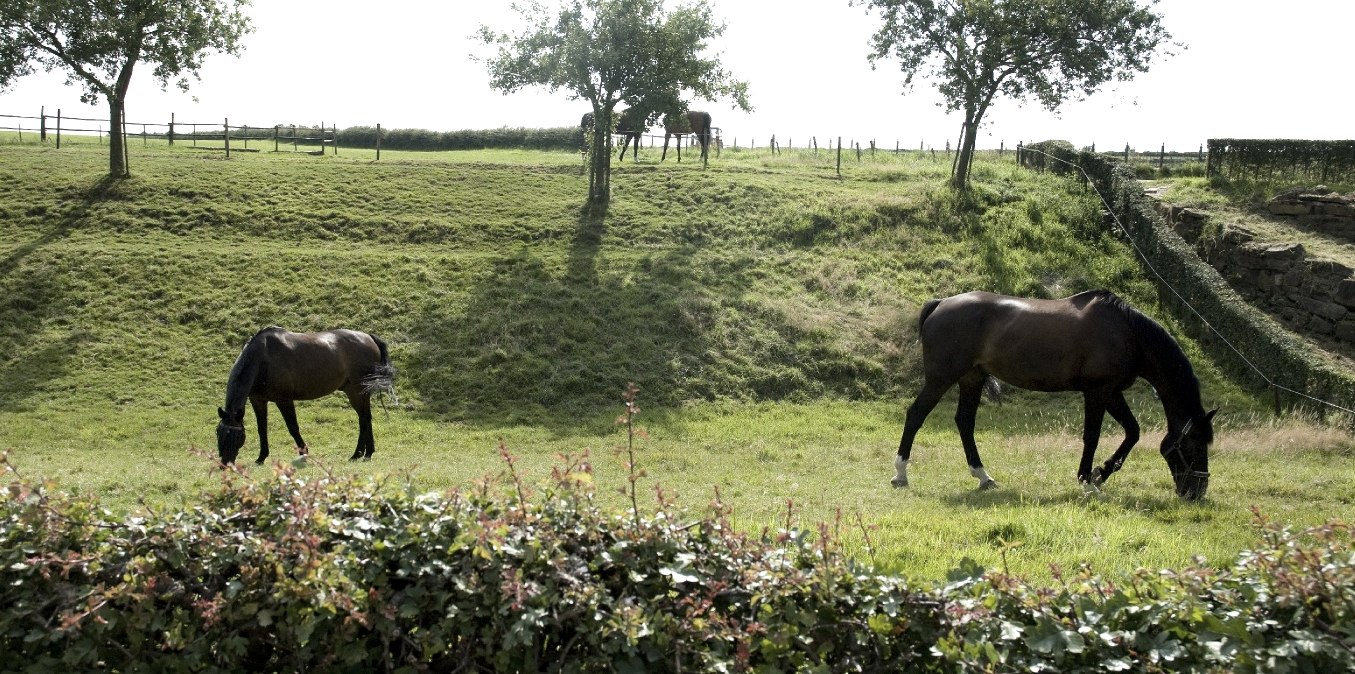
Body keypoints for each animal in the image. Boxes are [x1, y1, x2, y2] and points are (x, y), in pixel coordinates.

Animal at [211, 325, 392, 461]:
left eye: (238, 436)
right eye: (219, 433)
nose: (225, 464)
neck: (263, 358)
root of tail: (368, 337)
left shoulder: (284, 400)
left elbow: (292, 427)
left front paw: (304, 453)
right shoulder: (258, 400)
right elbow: (261, 428)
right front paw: (261, 457)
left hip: (357, 391)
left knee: (364, 418)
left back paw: (359, 454)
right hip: (356, 391)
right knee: (365, 418)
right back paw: (366, 453)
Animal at [888, 288, 1219, 499]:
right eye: (1194, 445)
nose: (1197, 492)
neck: (1128, 333)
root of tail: (941, 303)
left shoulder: (1112, 392)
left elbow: (1133, 432)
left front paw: (1101, 473)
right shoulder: (1097, 392)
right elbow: (1092, 436)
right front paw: (1087, 481)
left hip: (972, 378)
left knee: (965, 422)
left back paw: (983, 476)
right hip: (942, 378)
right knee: (916, 415)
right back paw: (901, 474)